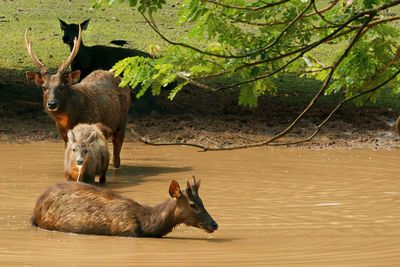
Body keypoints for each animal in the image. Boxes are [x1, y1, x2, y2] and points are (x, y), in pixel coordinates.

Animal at [24, 25, 130, 168]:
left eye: (61, 86)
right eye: (44, 87)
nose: (51, 104)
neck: (70, 120)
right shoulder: (64, 136)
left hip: (122, 121)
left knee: (117, 156)